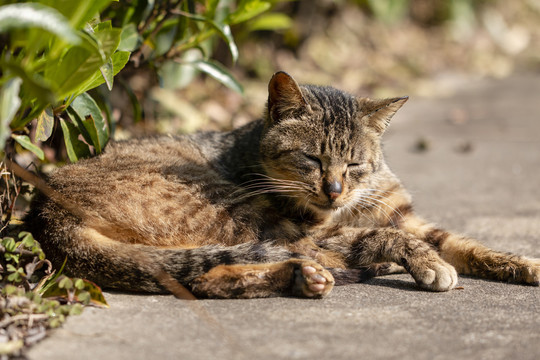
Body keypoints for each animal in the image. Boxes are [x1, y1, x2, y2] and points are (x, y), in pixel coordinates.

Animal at [26, 70, 540, 298]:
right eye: (311, 159)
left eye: (354, 163)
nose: (333, 190)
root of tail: (45, 209)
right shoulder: (326, 227)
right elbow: (386, 235)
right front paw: (428, 264)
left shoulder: (411, 217)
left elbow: (469, 244)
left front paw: (523, 264)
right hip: (237, 210)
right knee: (315, 254)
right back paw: (311, 273)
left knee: (202, 278)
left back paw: (298, 278)